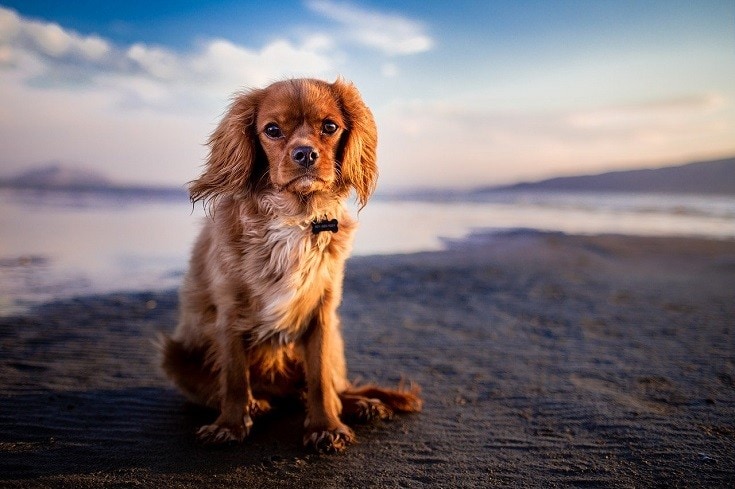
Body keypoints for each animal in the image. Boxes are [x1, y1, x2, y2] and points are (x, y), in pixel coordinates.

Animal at [162, 78, 426, 452]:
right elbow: (234, 377)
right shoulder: (229, 313)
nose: (305, 154)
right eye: (272, 130)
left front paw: (326, 426)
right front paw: (230, 425)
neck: (295, 217)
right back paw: (256, 404)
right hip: (174, 356)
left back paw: (362, 404)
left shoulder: (321, 312)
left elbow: (319, 380)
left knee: (332, 387)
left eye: (329, 127)